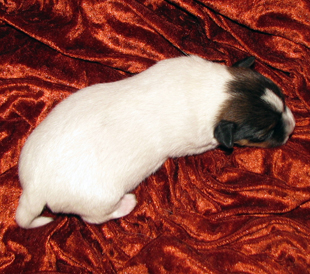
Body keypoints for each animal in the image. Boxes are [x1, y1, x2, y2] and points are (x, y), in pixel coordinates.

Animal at [15, 54, 296, 228]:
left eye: (283, 99)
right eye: (263, 135)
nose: (292, 128)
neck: (213, 92)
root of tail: (34, 188)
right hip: (99, 200)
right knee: (94, 218)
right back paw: (126, 204)